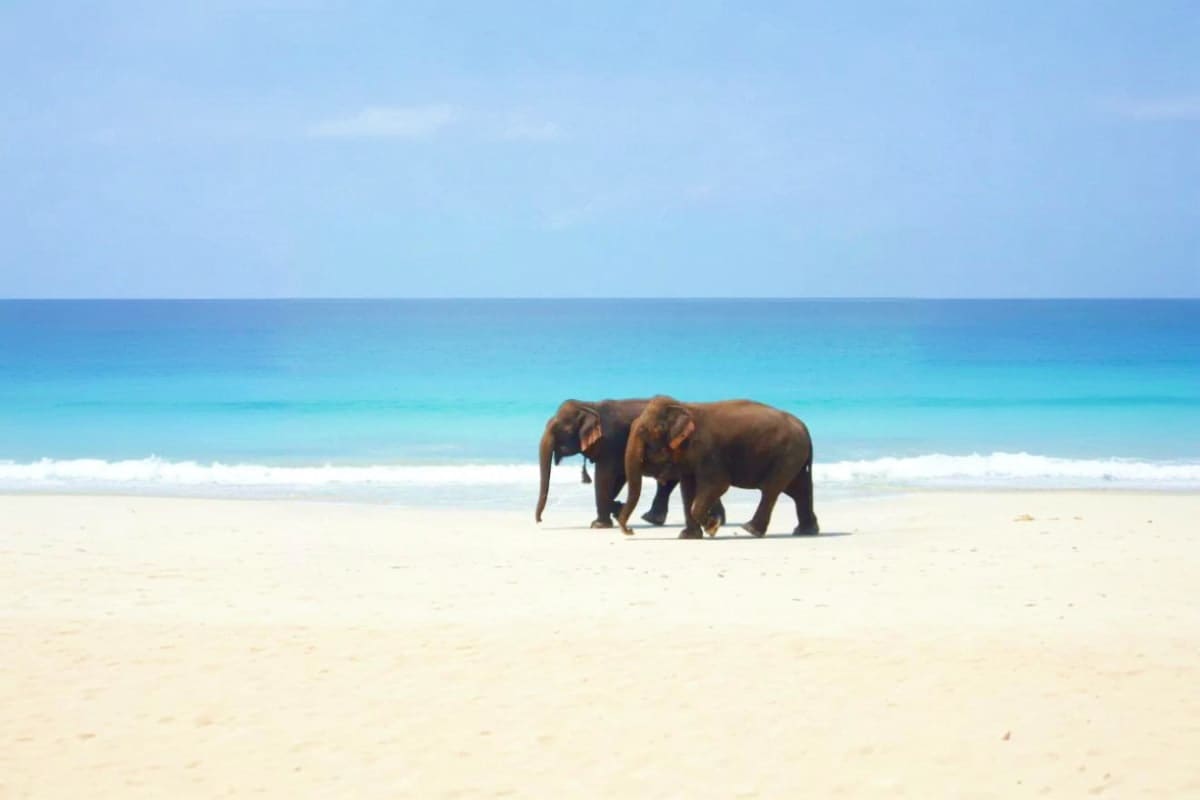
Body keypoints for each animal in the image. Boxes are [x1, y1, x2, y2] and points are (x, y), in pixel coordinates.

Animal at [536, 398, 727, 529]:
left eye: (564, 430)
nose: (539, 520)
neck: (589, 405)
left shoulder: (611, 443)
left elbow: (604, 477)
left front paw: (599, 524)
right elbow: (618, 478)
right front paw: (617, 510)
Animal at [618, 396, 819, 539]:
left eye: (646, 432)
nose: (630, 531)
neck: (685, 407)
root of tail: (805, 428)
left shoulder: (709, 451)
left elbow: (718, 484)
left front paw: (713, 527)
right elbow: (687, 489)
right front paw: (688, 536)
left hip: (788, 455)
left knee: (772, 489)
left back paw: (750, 529)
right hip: (793, 457)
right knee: (799, 490)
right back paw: (806, 531)